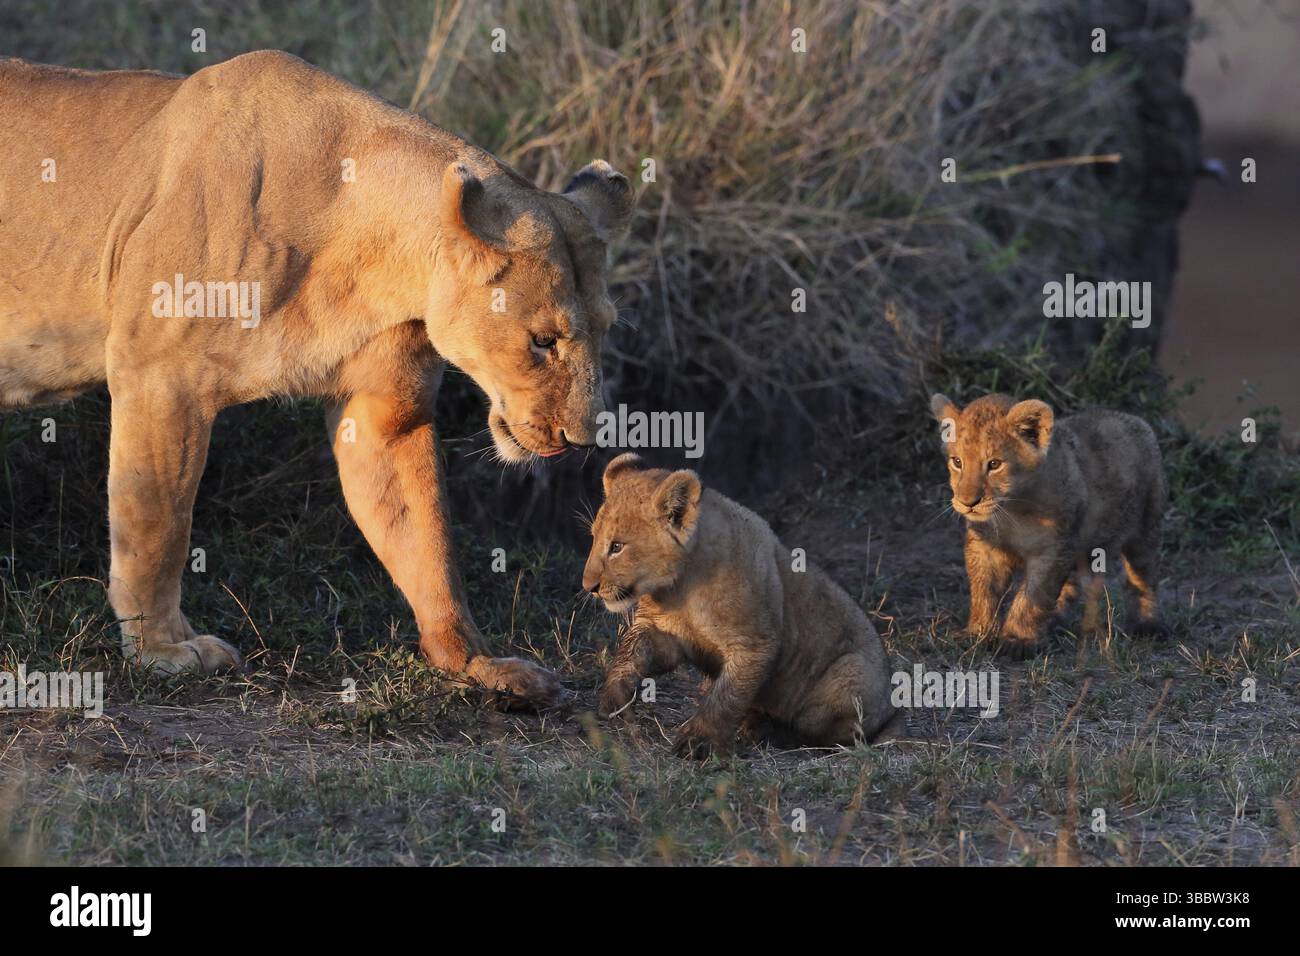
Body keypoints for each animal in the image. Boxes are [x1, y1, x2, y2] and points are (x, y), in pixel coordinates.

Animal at [0, 51, 635, 705]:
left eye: (606, 330)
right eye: (544, 340)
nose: (583, 439)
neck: (371, 255)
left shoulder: (384, 411)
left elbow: (426, 544)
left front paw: (474, 663)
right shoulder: (159, 376)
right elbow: (157, 527)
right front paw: (163, 652)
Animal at [581, 454, 899, 756]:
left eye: (617, 547)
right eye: (594, 538)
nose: (588, 587)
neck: (681, 587)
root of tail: (889, 710)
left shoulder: (754, 645)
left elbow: (726, 696)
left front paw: (697, 741)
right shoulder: (663, 631)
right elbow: (631, 653)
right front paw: (613, 700)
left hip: (851, 674)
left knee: (828, 734)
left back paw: (769, 730)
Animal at [929, 393, 1167, 655]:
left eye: (994, 464)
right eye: (957, 462)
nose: (967, 502)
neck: (1012, 511)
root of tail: (1133, 418)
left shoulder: (1052, 550)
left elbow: (1032, 597)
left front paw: (1017, 640)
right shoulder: (984, 547)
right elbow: (984, 592)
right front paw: (976, 633)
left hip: (1144, 526)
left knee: (1144, 577)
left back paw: (1148, 624)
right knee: (1071, 585)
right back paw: (1054, 621)